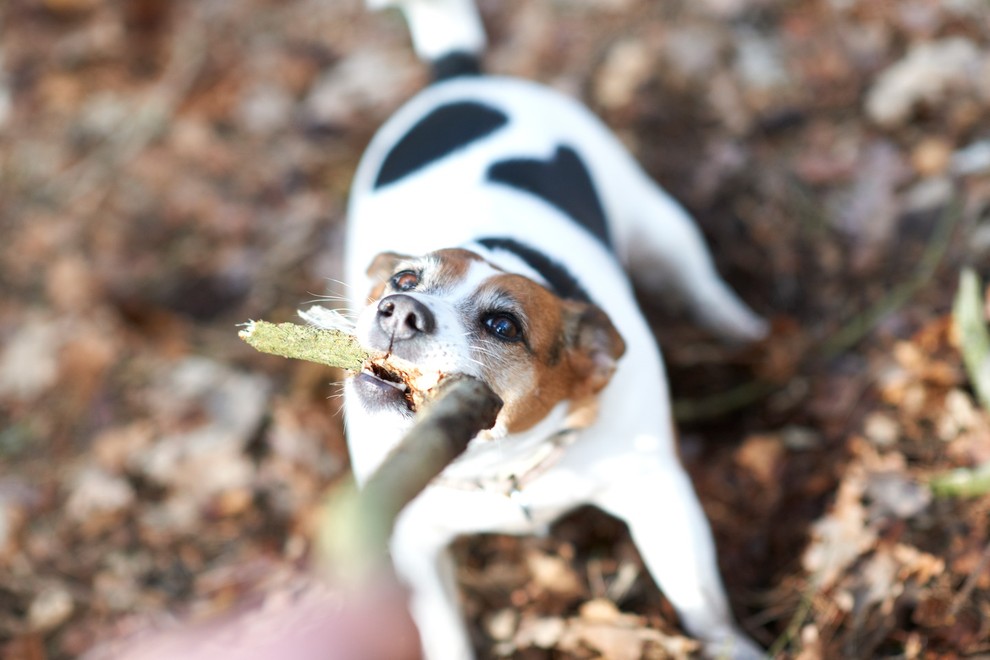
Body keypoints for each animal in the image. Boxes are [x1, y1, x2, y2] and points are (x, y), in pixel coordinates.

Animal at [312, 1, 768, 656]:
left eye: (504, 325)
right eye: (404, 278)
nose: (398, 310)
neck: (501, 469)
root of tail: (461, 79)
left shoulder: (659, 496)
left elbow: (703, 606)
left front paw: (732, 645)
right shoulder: (416, 541)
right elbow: (443, 628)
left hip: (661, 224)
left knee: (702, 281)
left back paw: (742, 330)